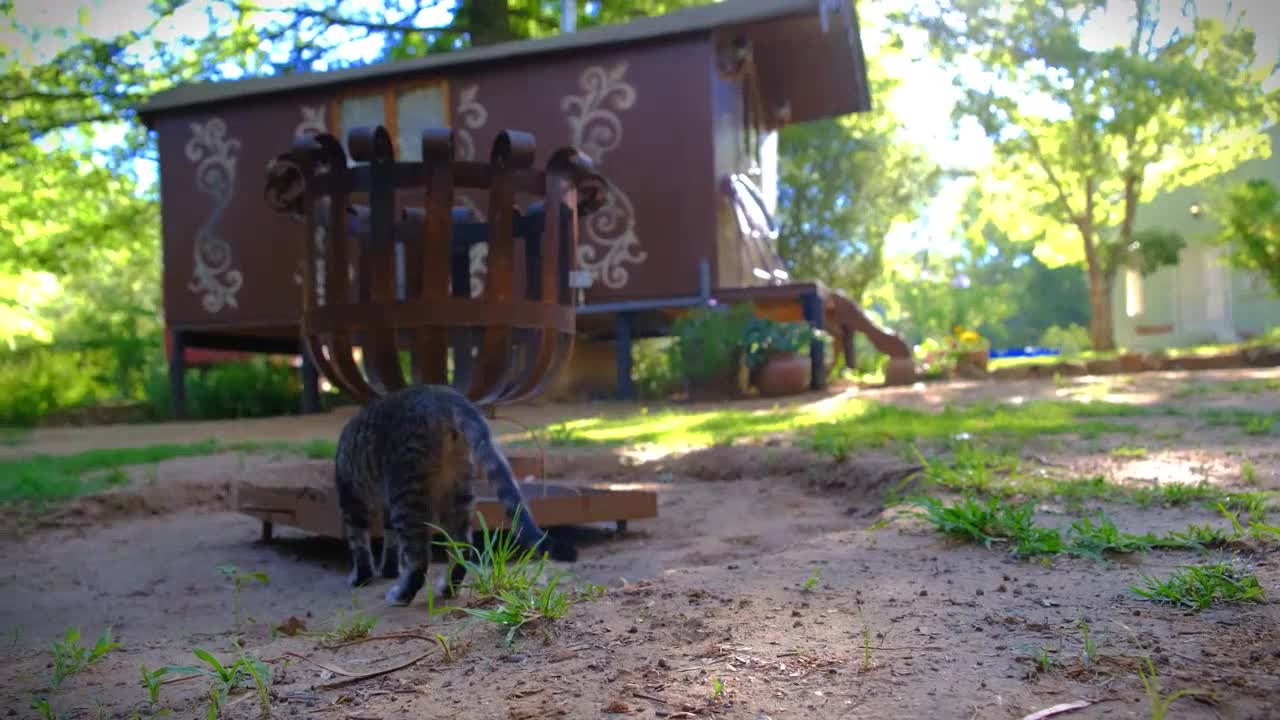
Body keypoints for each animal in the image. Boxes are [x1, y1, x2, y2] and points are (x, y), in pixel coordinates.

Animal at [335, 384, 576, 602]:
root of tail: (444, 396)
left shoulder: (352, 500)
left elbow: (359, 544)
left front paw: (362, 577)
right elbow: (391, 542)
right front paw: (389, 570)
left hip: (406, 491)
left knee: (419, 556)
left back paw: (402, 594)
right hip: (457, 489)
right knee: (463, 546)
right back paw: (448, 588)